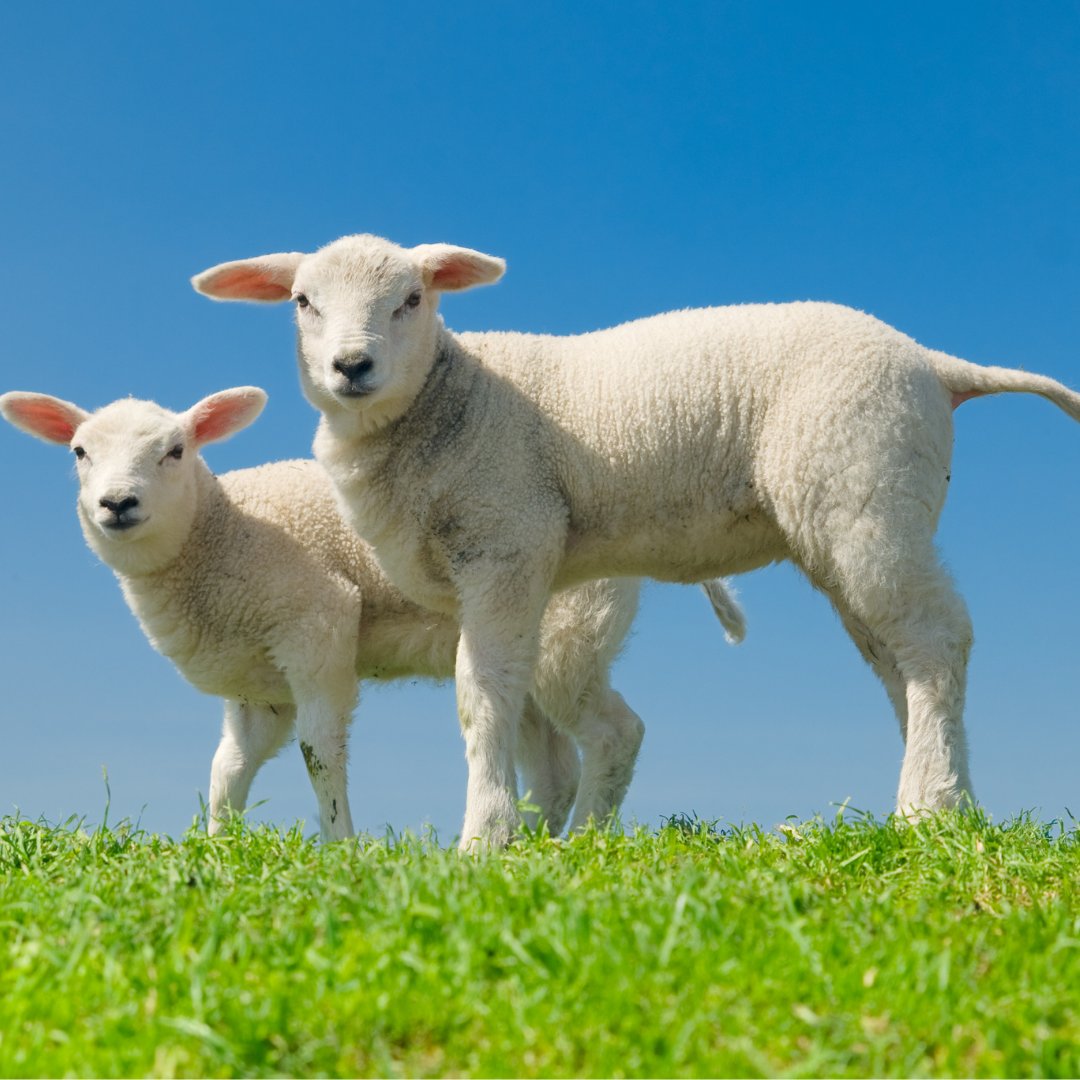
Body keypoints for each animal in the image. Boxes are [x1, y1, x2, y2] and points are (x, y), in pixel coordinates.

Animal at [0, 385, 746, 839]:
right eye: (79, 452)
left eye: (176, 451)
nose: (117, 504)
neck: (220, 533)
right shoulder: (257, 685)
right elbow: (227, 770)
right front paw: (216, 848)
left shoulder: (317, 622)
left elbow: (319, 751)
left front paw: (341, 845)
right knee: (552, 766)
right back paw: (525, 844)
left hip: (570, 632)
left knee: (617, 734)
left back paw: (577, 843)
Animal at [192, 233, 1079, 846]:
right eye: (302, 301)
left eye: (413, 298)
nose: (352, 366)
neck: (452, 400)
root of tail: (937, 365)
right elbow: (513, 706)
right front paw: (523, 838)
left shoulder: (505, 540)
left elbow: (483, 697)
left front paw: (484, 840)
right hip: (853, 515)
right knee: (899, 662)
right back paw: (946, 799)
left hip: (864, 489)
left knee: (937, 640)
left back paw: (929, 806)